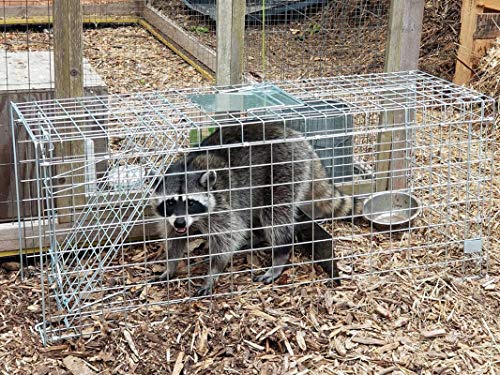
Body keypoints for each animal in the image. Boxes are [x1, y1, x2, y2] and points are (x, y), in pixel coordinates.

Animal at [150, 121, 358, 296]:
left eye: (191, 203)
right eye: (170, 202)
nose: (180, 222)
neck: (187, 167)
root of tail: (296, 137)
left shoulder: (221, 206)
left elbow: (230, 235)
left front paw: (213, 271)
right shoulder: (171, 217)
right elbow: (173, 237)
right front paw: (171, 265)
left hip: (284, 168)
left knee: (274, 215)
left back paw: (280, 253)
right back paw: (257, 238)